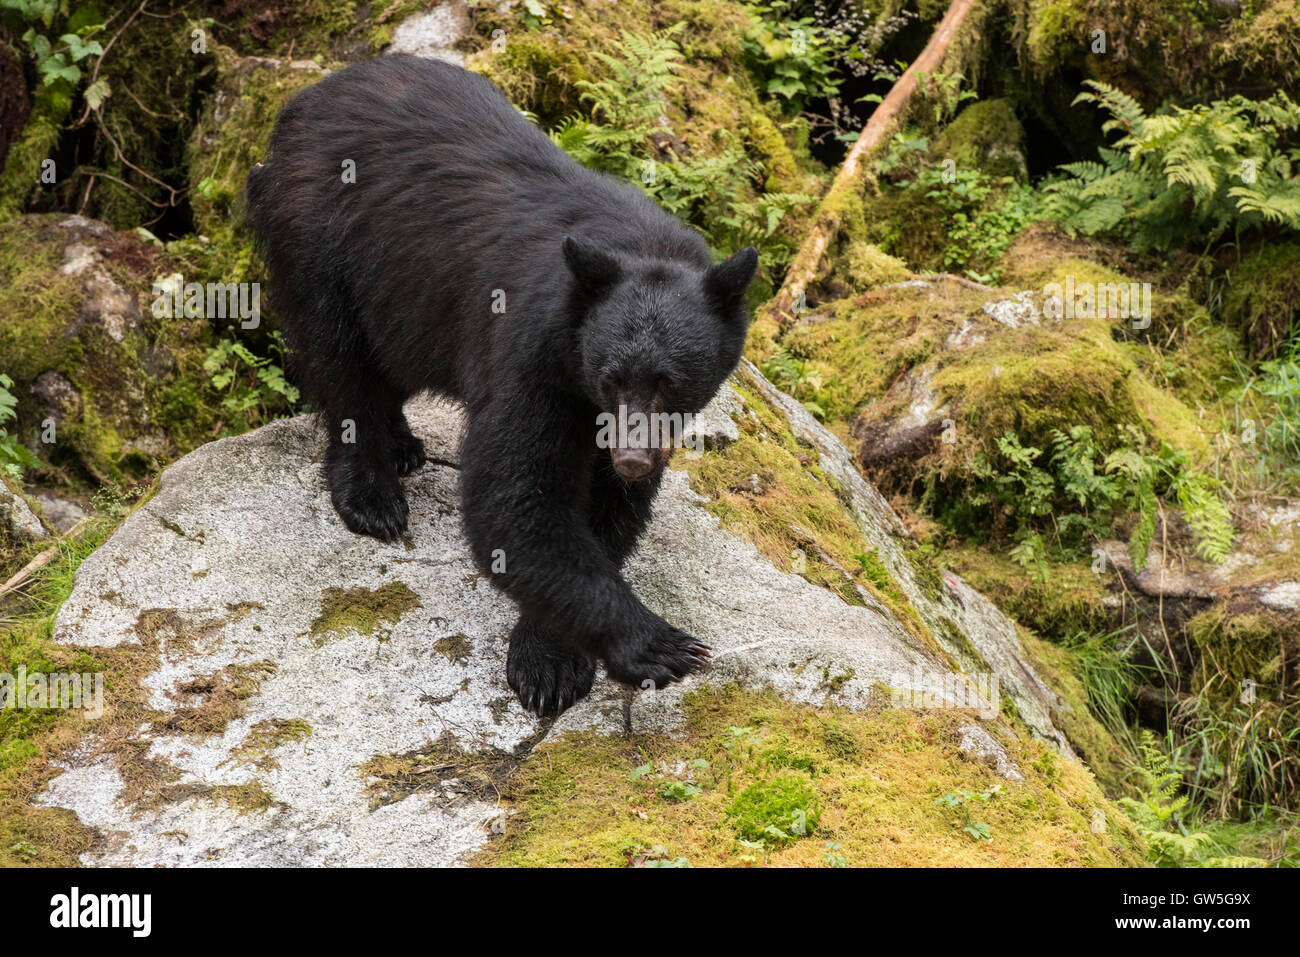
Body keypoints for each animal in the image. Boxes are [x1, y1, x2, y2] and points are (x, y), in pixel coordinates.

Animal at [245, 55, 757, 715]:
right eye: (612, 377)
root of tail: (302, 103)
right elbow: (517, 496)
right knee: (340, 362)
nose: (632, 460)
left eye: (669, 382)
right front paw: (654, 645)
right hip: (322, 241)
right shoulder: (532, 353)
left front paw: (552, 656)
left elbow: (604, 514)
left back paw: (403, 443)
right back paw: (372, 491)